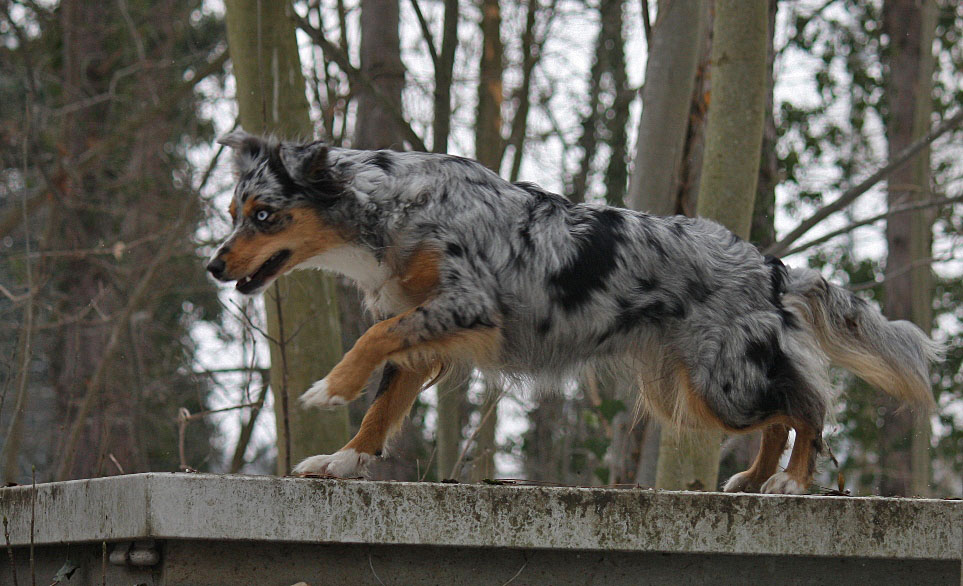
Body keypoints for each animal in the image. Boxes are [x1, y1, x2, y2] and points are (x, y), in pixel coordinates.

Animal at [207, 130, 936, 490]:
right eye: (233, 212)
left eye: (264, 215)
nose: (213, 266)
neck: (391, 207)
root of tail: (772, 267)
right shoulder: (429, 330)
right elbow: (385, 406)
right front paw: (344, 462)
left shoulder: (467, 304)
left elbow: (374, 339)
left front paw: (330, 388)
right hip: (696, 385)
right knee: (782, 415)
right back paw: (755, 478)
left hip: (721, 380)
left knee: (806, 405)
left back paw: (792, 483)